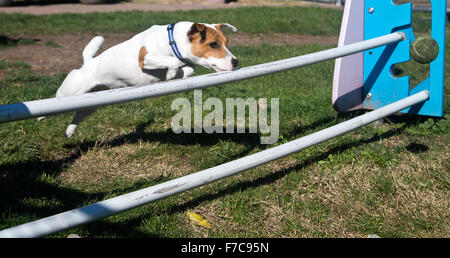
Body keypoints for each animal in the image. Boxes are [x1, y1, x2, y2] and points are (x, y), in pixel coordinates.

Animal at [42, 21, 239, 138]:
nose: (236, 62)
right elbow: (175, 62)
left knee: (79, 113)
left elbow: (189, 68)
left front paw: (173, 75)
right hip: (70, 92)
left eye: (226, 43)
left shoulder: (186, 63)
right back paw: (42, 115)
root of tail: (88, 62)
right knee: (57, 99)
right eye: (213, 44)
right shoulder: (144, 57)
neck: (171, 41)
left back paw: (69, 131)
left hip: (94, 102)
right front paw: (170, 73)